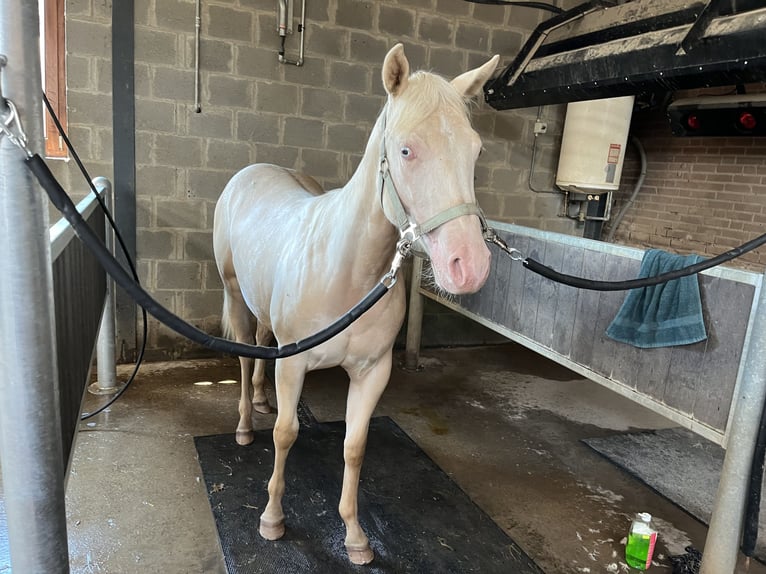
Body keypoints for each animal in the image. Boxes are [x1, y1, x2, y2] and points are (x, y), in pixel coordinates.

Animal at [213, 45, 500, 568]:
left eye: (475, 150)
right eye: (405, 150)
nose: (468, 266)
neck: (347, 272)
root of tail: (252, 172)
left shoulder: (372, 371)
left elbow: (354, 445)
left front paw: (355, 536)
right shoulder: (295, 364)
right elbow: (285, 433)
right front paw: (272, 518)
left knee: (263, 343)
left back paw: (260, 400)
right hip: (234, 293)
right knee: (245, 356)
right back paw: (245, 423)